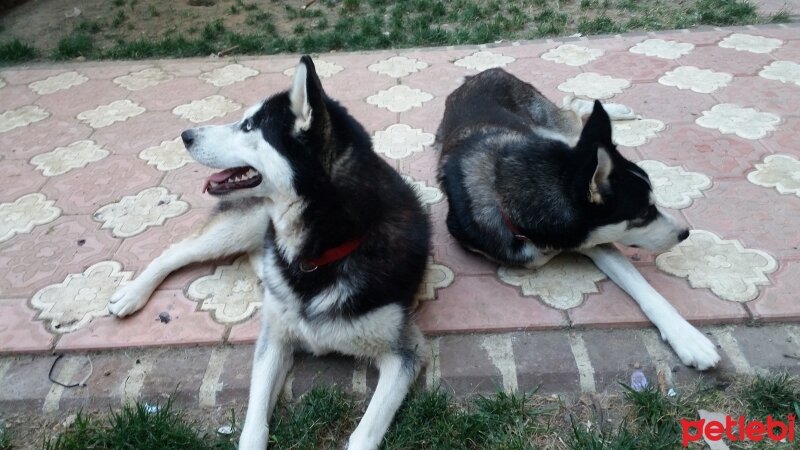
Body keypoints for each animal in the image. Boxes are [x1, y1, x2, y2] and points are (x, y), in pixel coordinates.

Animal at [111, 57, 432, 450]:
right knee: (177, 250)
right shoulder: (274, 340)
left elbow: (364, 433)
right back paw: (132, 294)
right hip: (246, 222)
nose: (186, 135)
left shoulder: (404, 352)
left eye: (249, 126)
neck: (320, 252)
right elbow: (254, 421)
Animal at [438, 67, 720, 370]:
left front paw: (687, 337)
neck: (507, 197)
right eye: (643, 214)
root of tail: (486, 72)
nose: (685, 233)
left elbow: (644, 289)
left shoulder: (594, 238)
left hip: (559, 132)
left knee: (571, 108)